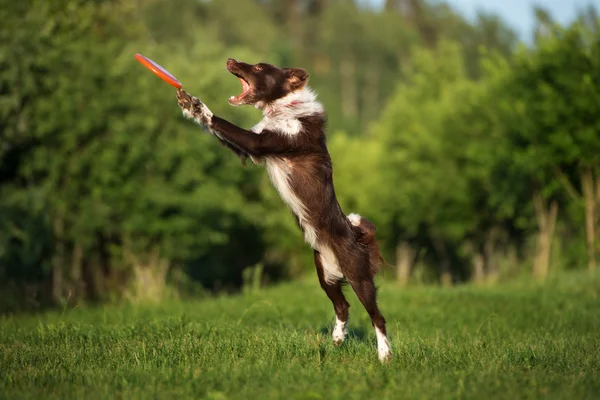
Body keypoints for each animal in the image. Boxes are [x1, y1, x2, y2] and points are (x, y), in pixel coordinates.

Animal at [177, 59, 394, 362]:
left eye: (259, 67)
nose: (230, 60)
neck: (282, 107)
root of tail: (357, 234)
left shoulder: (260, 143)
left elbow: (221, 122)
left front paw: (198, 106)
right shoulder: (250, 151)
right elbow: (219, 130)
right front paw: (188, 105)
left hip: (359, 277)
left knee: (377, 317)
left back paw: (384, 355)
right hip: (324, 274)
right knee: (343, 306)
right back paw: (337, 338)